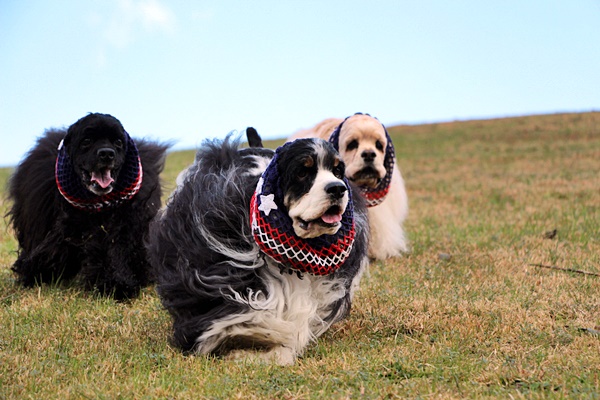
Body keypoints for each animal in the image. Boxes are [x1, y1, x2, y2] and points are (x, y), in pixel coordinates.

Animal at [7, 112, 170, 300]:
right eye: (86, 141)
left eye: (118, 142)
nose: (107, 153)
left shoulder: (125, 222)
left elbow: (117, 250)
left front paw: (118, 285)